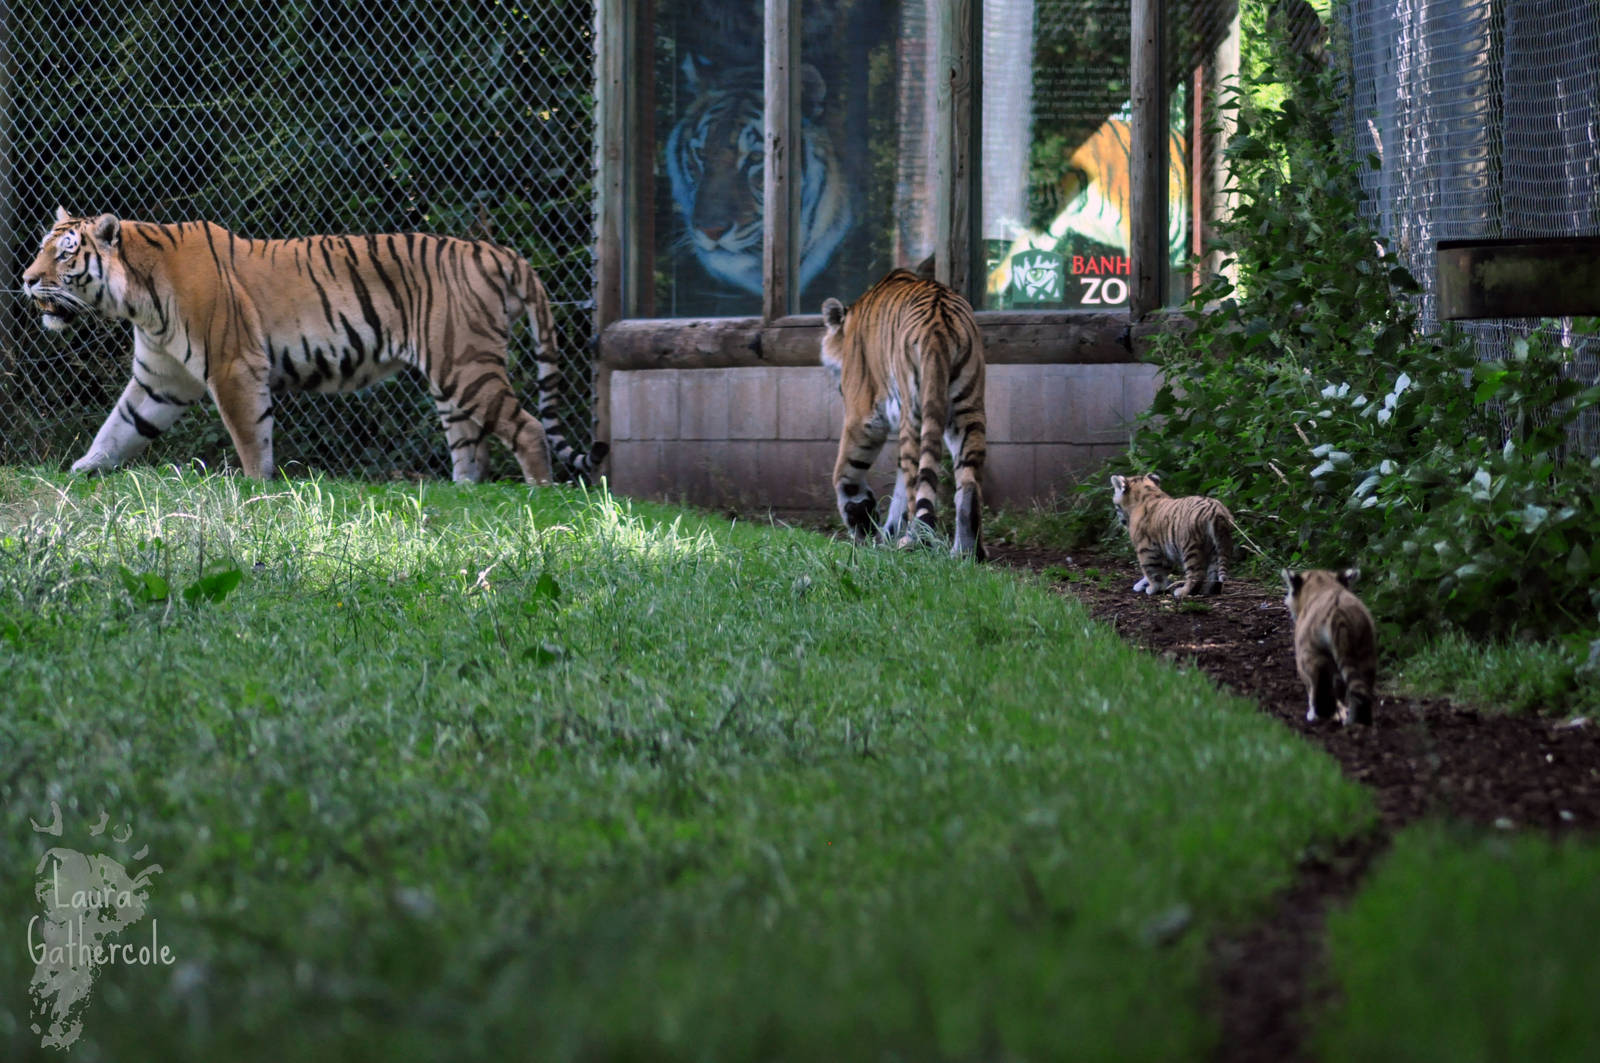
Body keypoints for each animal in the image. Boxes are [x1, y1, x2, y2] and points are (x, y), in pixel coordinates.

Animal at [20, 208, 605, 484]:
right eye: (43, 249)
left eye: (64, 253)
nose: (25, 280)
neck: (137, 298)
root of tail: (499, 252)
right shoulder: (159, 381)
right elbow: (118, 428)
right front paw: (82, 472)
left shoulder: (234, 367)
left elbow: (250, 436)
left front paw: (256, 487)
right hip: (450, 377)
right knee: (471, 448)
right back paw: (463, 493)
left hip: (466, 363)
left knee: (528, 428)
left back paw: (539, 492)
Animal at [819, 269, 987, 560]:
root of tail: (940, 324)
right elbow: (896, 492)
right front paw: (885, 533)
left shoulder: (862, 416)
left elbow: (845, 472)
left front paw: (861, 520)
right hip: (968, 410)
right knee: (967, 483)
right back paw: (966, 553)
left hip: (915, 413)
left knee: (916, 485)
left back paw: (915, 542)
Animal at [1282, 568, 1378, 726]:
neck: (1323, 583)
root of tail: (1339, 614)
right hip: (1366, 653)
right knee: (1360, 690)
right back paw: (1357, 722)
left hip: (1311, 655)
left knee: (1320, 689)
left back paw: (1318, 716)